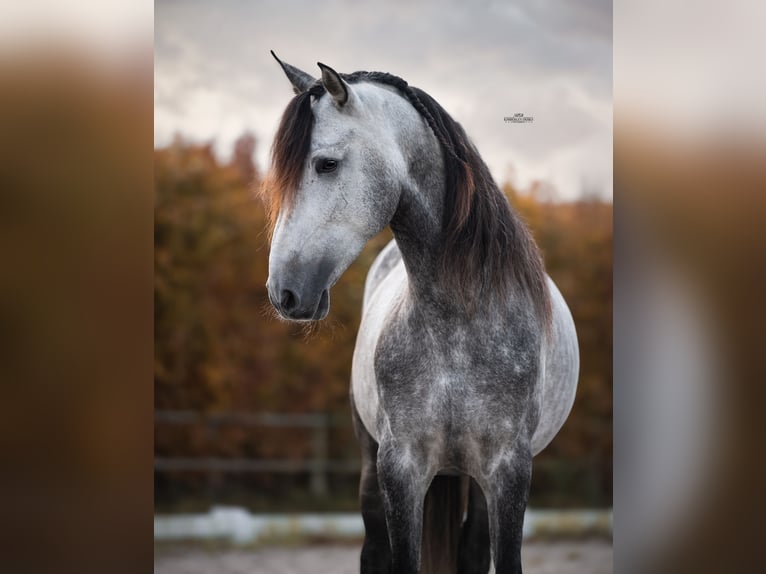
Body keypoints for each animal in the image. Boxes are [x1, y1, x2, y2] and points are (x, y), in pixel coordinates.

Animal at [260, 51, 580, 572]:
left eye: (326, 164)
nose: (283, 292)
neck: (457, 323)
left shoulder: (509, 471)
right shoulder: (400, 467)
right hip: (373, 465)